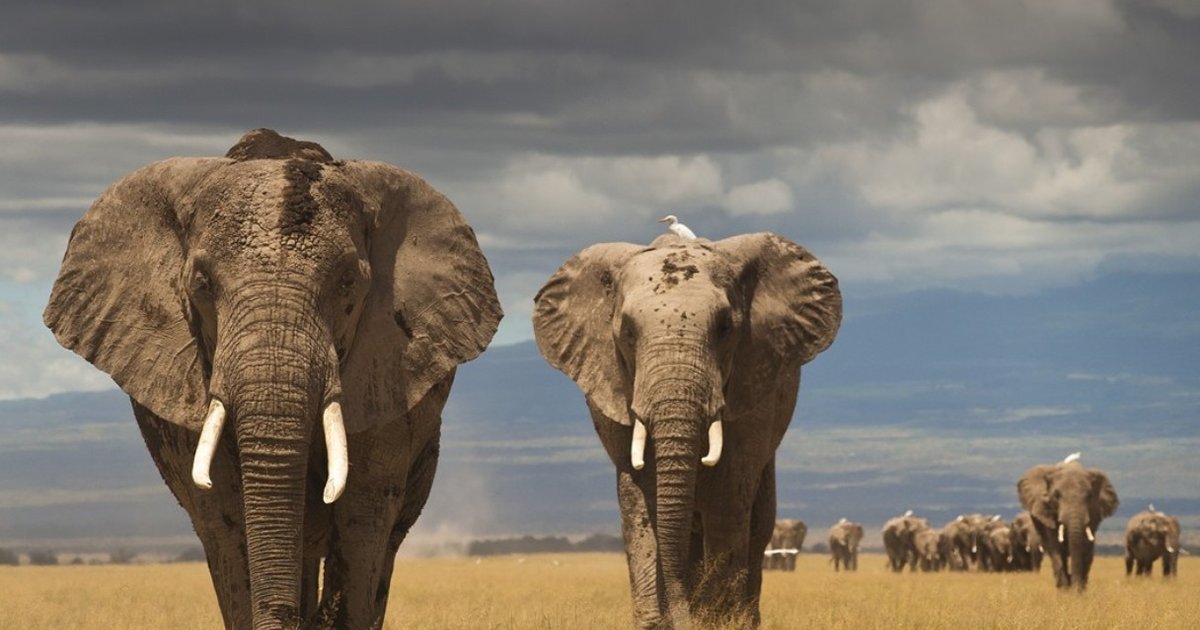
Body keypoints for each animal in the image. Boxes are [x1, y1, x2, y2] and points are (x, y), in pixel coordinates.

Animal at [532, 231, 841, 628]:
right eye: (627, 331)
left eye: (725, 328)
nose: (680, 619)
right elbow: (639, 499)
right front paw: (655, 622)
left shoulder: (752, 392)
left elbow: (728, 495)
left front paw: (716, 620)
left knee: (758, 524)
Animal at [1017, 455, 1119, 590]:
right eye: (1056, 495)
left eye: (1089, 496)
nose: (1073, 585)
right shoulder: (1048, 512)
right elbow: (1056, 547)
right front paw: (1066, 590)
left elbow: (1085, 547)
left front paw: (1078, 590)